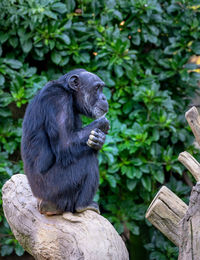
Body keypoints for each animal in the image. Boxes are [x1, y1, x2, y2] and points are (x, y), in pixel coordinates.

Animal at [20, 68, 108, 215]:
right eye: (97, 88)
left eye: (102, 88)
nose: (104, 97)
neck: (69, 93)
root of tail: (39, 200)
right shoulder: (58, 101)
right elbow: (65, 143)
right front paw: (102, 123)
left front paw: (98, 139)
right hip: (55, 189)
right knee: (88, 158)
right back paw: (83, 205)